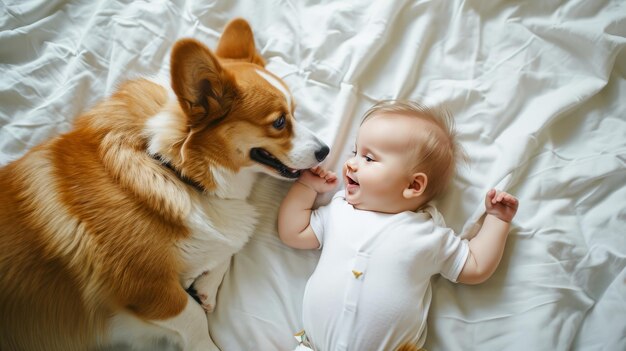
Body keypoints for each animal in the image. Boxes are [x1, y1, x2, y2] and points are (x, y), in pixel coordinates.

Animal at [0, 19, 330, 351]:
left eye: (295, 113)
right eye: (279, 122)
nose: (325, 151)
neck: (171, 168)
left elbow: (229, 247)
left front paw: (206, 287)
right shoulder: (144, 287)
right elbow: (194, 315)